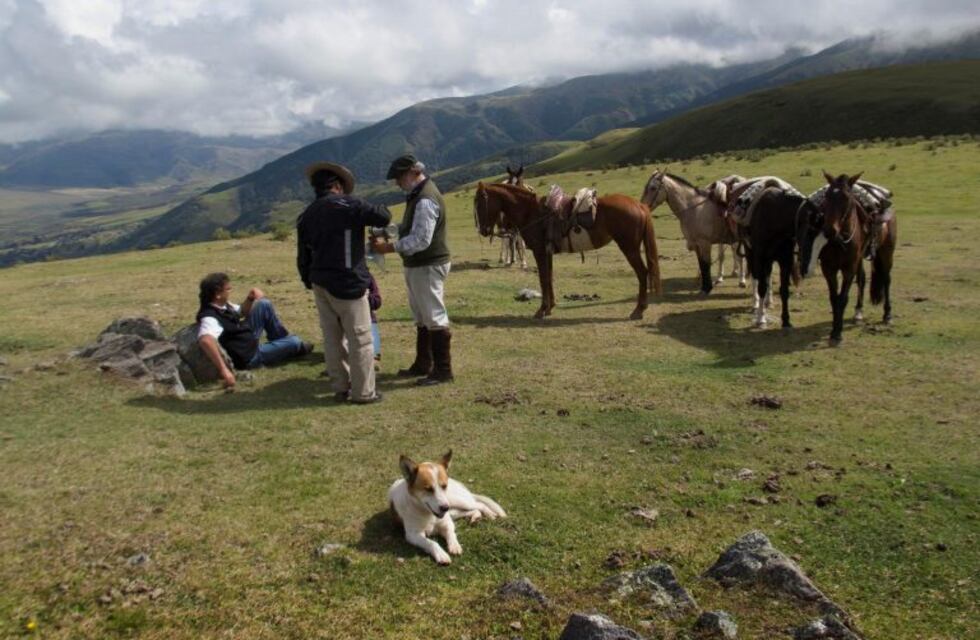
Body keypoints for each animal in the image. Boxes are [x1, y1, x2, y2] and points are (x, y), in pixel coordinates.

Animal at [474, 182, 662, 320]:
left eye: (481, 202)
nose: (483, 230)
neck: (531, 212)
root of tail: (639, 205)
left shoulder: (539, 252)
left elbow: (543, 279)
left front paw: (541, 310)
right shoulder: (547, 252)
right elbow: (549, 278)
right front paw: (550, 308)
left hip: (629, 247)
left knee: (642, 273)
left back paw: (638, 310)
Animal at [797, 172, 897, 345]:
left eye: (847, 199)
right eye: (827, 196)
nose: (829, 230)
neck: (839, 241)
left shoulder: (848, 269)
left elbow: (843, 298)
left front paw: (838, 333)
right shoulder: (829, 269)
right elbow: (834, 298)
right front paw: (834, 330)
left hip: (886, 253)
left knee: (886, 279)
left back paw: (887, 315)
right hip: (860, 259)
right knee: (862, 279)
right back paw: (858, 312)